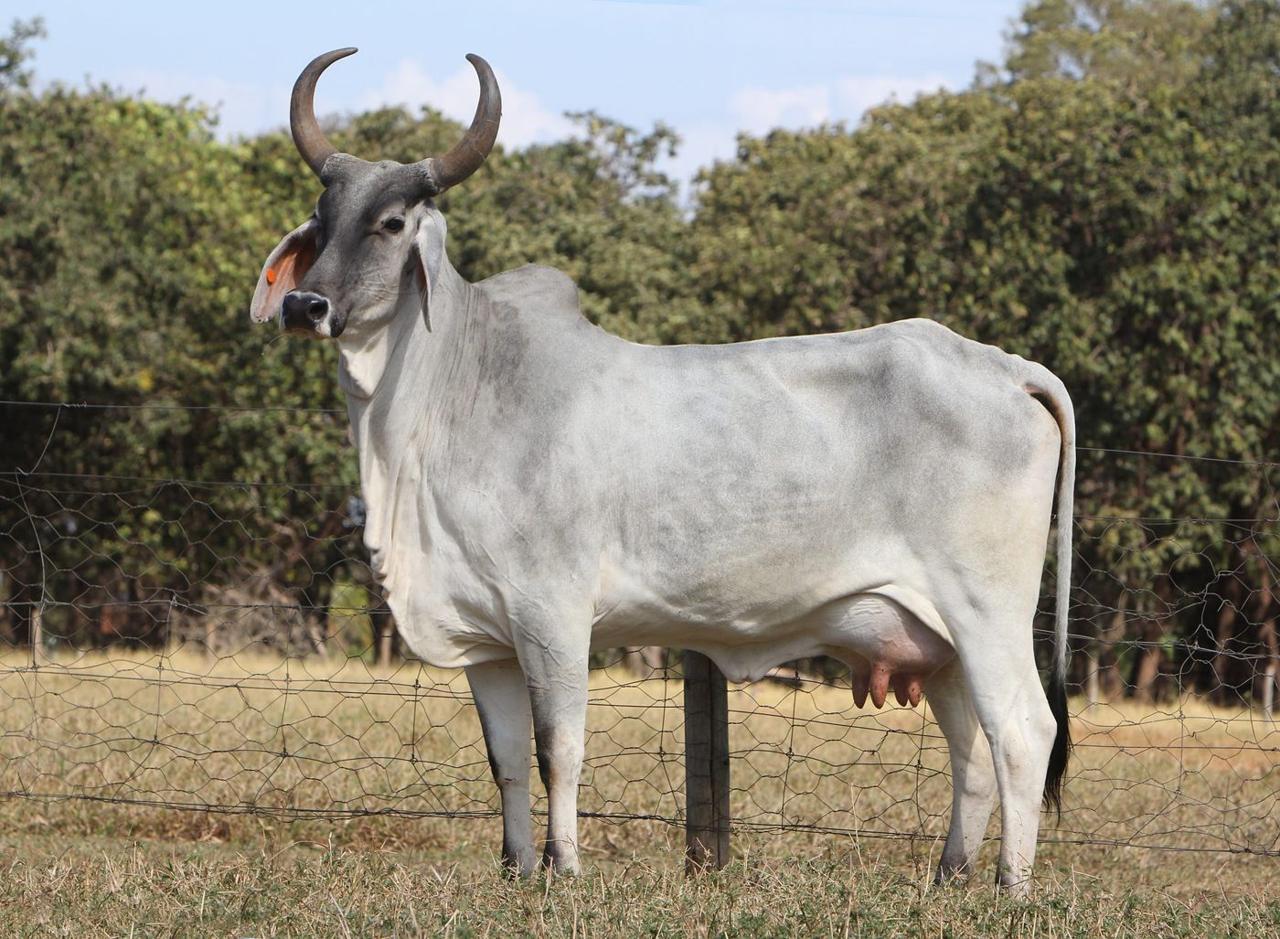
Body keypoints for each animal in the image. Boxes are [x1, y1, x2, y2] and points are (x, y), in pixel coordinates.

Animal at [250, 48, 1075, 892]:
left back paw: (1011, 888)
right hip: (936, 638)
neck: (448, 396)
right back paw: (950, 876)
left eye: (390, 223)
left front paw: (564, 867)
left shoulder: (553, 613)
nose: (306, 306)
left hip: (986, 611)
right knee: (971, 749)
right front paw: (515, 869)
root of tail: (1008, 368)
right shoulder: (487, 638)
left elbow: (559, 750)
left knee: (1022, 732)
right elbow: (506, 758)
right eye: (320, 220)